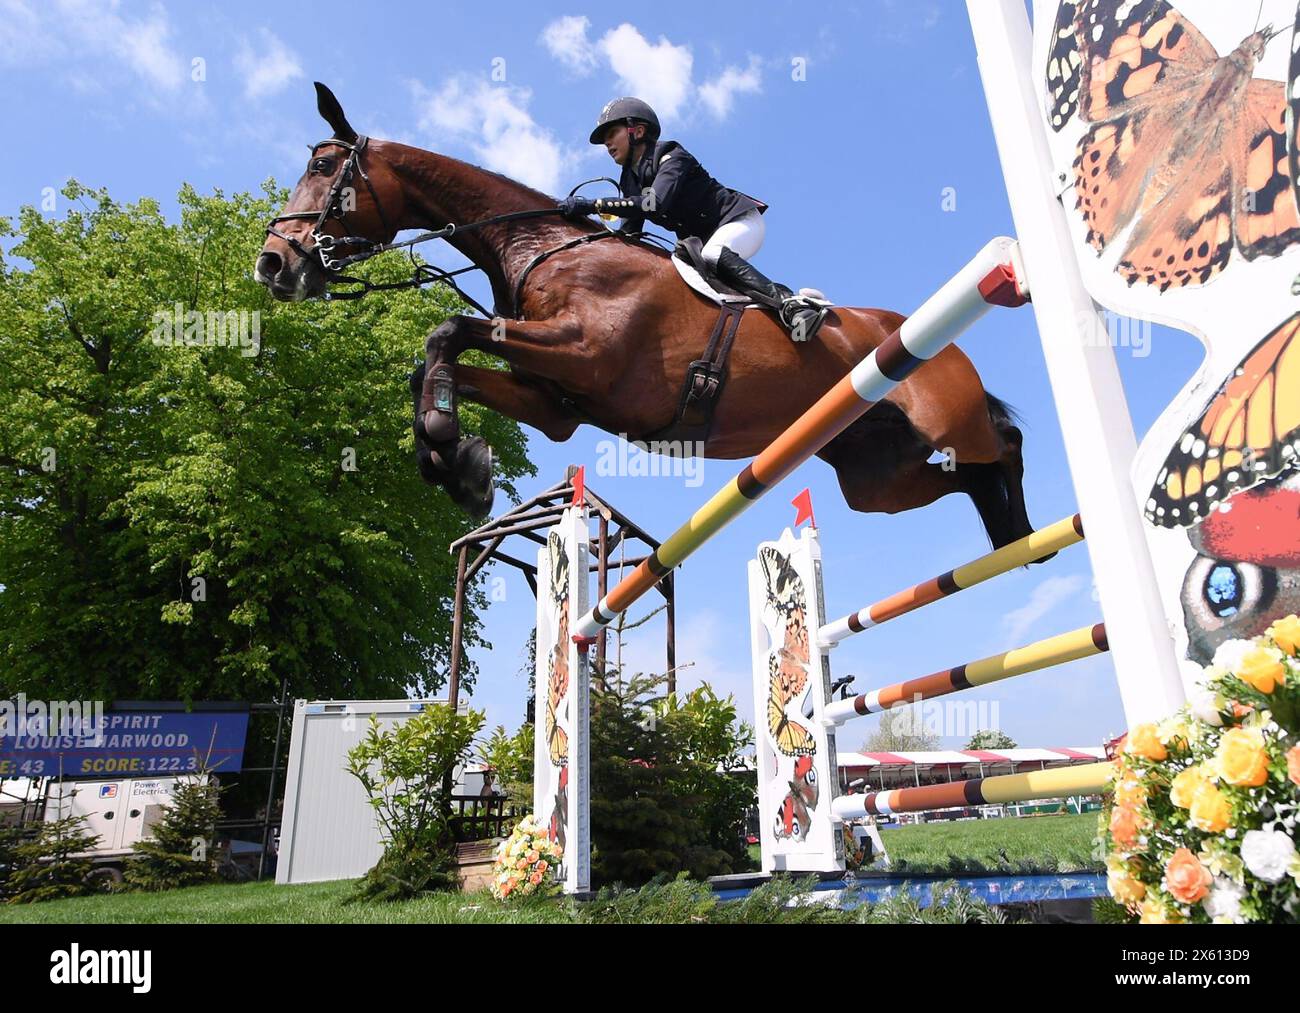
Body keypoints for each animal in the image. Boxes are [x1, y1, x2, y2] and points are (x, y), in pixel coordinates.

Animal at [256, 83, 1034, 551]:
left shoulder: (584, 353)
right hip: (877, 478)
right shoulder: (554, 402)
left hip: (946, 419)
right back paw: (1006, 538)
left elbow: (444, 331)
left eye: (324, 169)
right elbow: (433, 365)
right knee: (962, 479)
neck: (541, 247)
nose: (273, 265)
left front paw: (454, 451)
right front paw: (457, 465)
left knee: (1006, 442)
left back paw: (1026, 530)